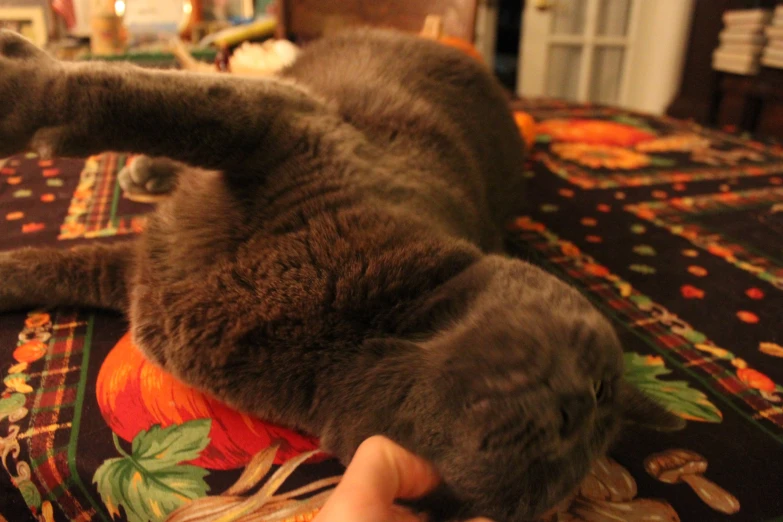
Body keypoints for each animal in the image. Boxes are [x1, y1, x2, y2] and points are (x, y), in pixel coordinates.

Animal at [0, 29, 688, 520]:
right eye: (599, 386)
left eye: (557, 473)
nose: (572, 408)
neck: (357, 335)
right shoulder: (286, 125)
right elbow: (144, 102)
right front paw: (24, 90)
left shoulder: (150, 275)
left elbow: (66, 265)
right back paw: (144, 168)